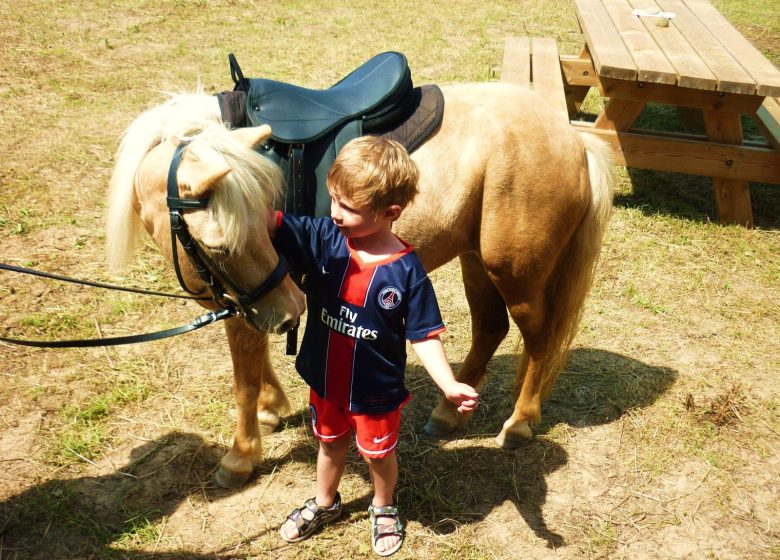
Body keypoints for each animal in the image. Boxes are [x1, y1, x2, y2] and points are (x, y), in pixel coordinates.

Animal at [106, 82, 612, 486]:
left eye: (255, 226)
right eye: (224, 244)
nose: (291, 310)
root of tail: (573, 137)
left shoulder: (249, 303)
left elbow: (243, 381)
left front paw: (240, 455)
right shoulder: (246, 301)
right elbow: (254, 363)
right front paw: (272, 409)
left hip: (515, 272)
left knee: (539, 337)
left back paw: (520, 422)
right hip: (477, 260)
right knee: (491, 329)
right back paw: (449, 412)